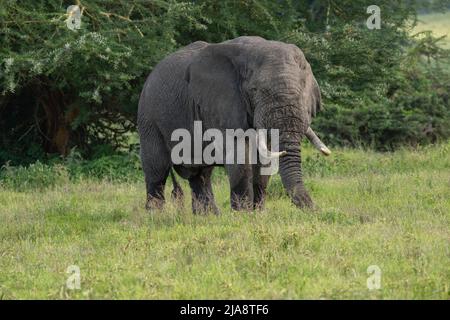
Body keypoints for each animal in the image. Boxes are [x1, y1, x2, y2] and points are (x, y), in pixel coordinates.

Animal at [137, 36, 330, 214]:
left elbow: (263, 161)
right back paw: (155, 215)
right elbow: (239, 156)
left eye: (302, 90)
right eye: (254, 90)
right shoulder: (222, 104)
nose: (316, 210)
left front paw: (258, 214)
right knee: (157, 169)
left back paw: (208, 217)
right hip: (148, 116)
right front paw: (243, 215)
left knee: (200, 174)